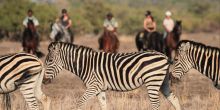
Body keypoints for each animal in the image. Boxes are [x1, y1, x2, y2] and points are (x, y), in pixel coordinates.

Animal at [44, 42, 180, 110]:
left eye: (49, 61)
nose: (44, 81)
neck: (86, 64)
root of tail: (164, 56)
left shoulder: (93, 86)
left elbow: (79, 103)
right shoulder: (100, 89)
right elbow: (103, 106)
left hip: (153, 81)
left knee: (156, 105)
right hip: (162, 82)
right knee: (174, 100)